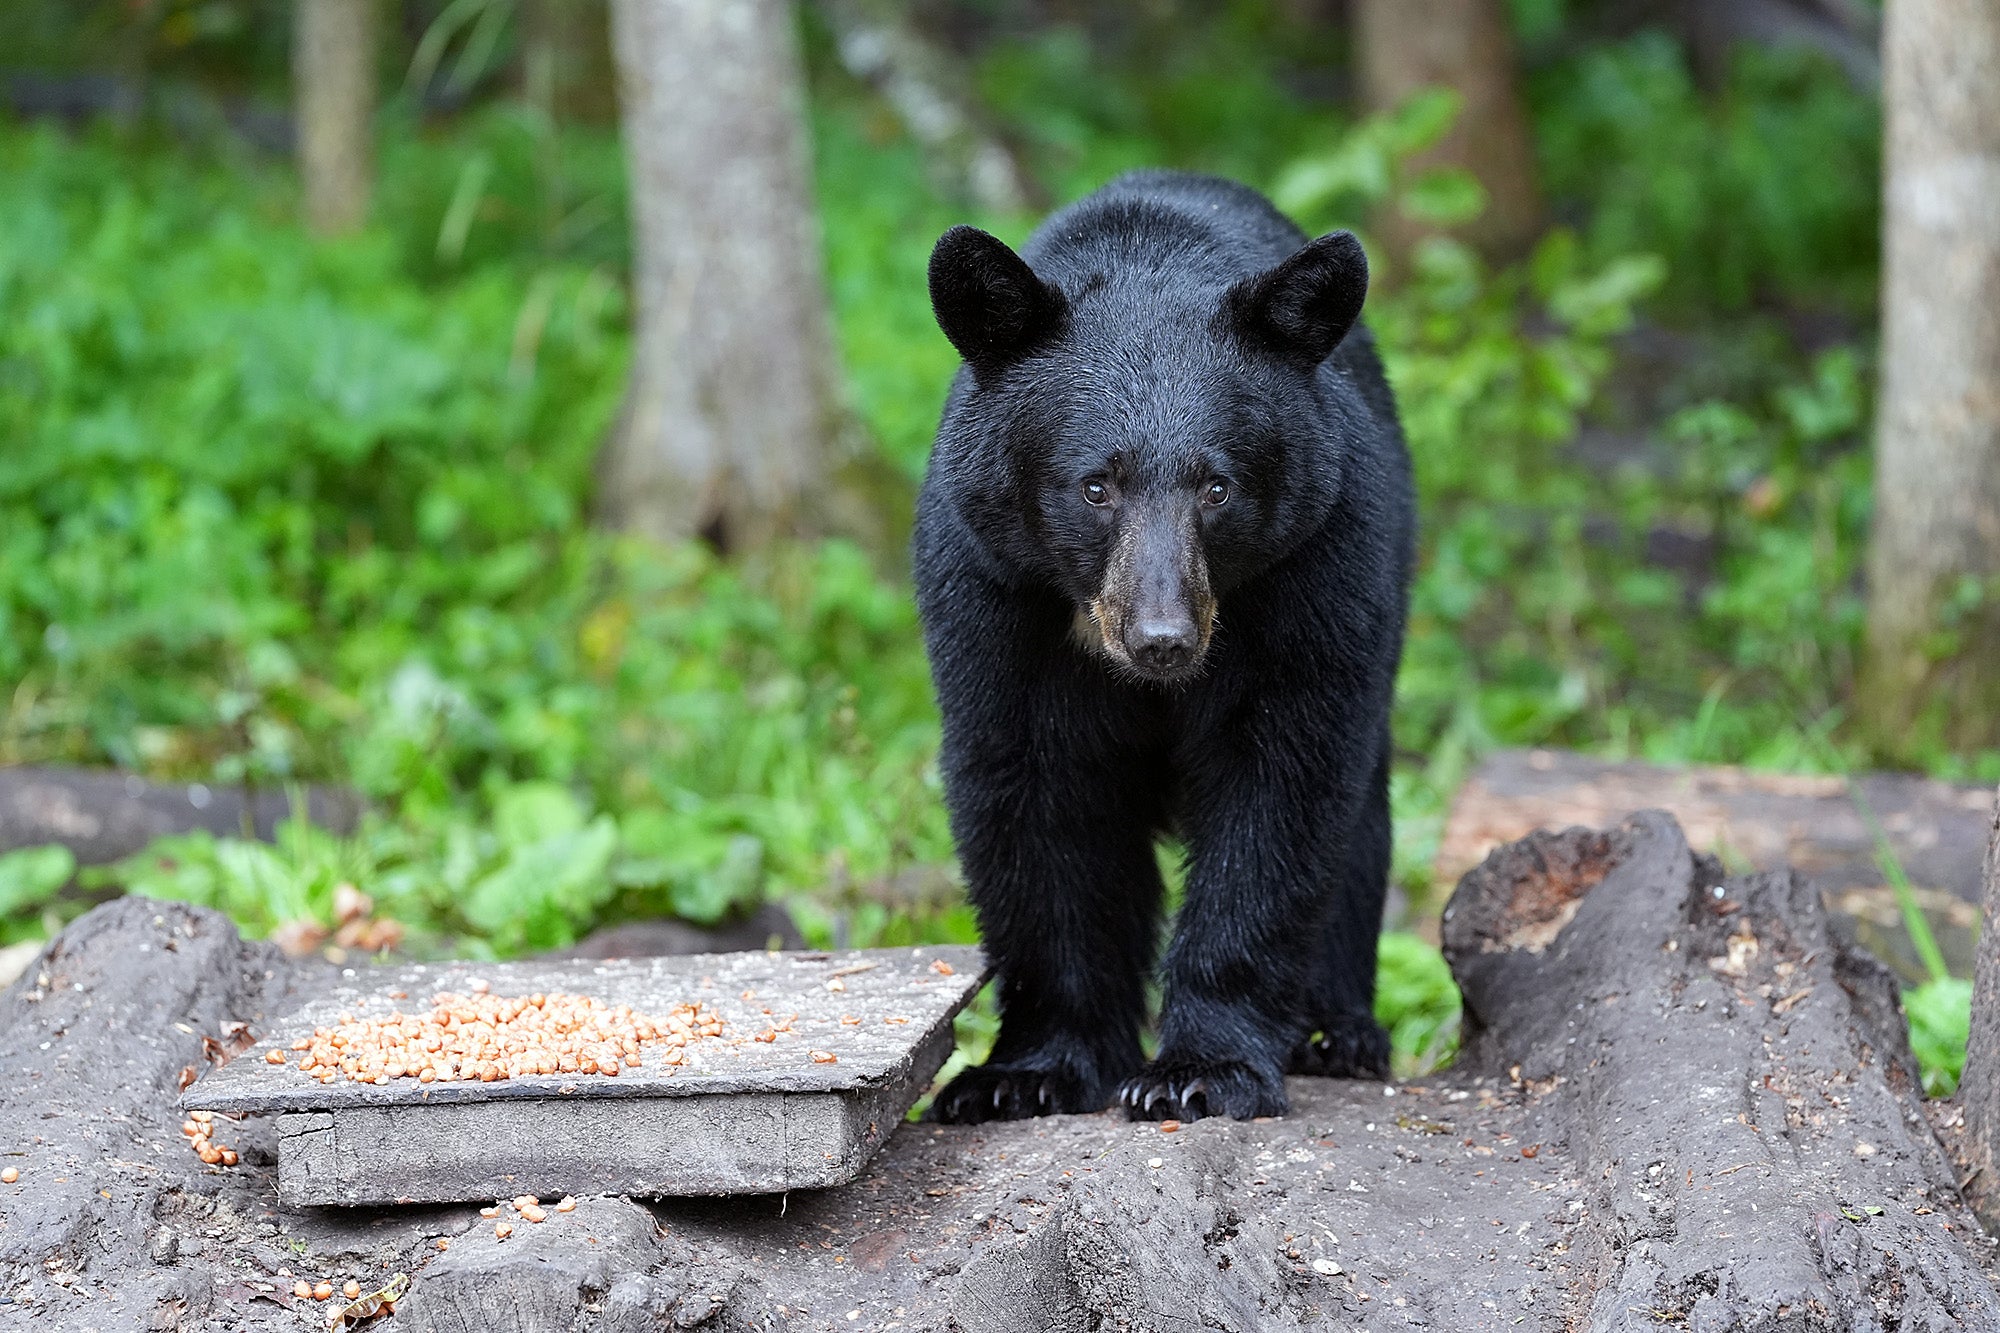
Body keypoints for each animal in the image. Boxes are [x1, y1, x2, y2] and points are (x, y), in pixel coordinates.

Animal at [913, 170, 1415, 1124]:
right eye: (1095, 485)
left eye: (1217, 487)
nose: (1161, 640)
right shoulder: (993, 591)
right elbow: (1036, 793)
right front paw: (1024, 1072)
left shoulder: (1320, 567)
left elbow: (1281, 791)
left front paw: (1201, 1069)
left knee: (1361, 811)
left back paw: (1338, 1033)